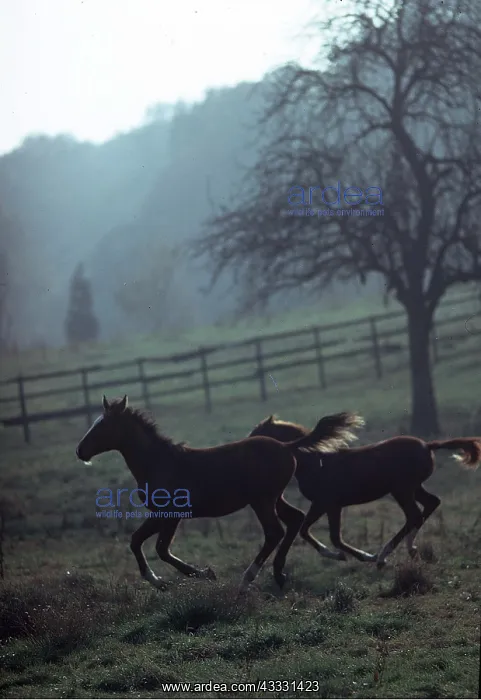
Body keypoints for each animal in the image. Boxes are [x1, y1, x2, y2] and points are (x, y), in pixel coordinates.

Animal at [76, 395, 339, 591]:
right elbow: (137, 541)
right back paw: (282, 572)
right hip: (275, 498)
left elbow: (160, 548)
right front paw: (159, 581)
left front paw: (202, 574)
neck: (159, 462)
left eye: (103, 425)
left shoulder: (171, 514)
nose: (80, 451)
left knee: (274, 532)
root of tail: (286, 446)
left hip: (262, 501)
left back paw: (247, 579)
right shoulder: (161, 515)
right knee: (294, 519)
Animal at [249, 414, 481, 567]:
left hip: (402, 490)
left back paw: (383, 555)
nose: (245, 446)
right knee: (430, 504)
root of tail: (428, 446)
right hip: (413, 488)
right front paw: (355, 556)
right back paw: (409, 549)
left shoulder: (325, 503)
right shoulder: (332, 506)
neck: (316, 462)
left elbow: (311, 531)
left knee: (414, 515)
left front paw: (355, 556)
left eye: (258, 434)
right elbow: (331, 535)